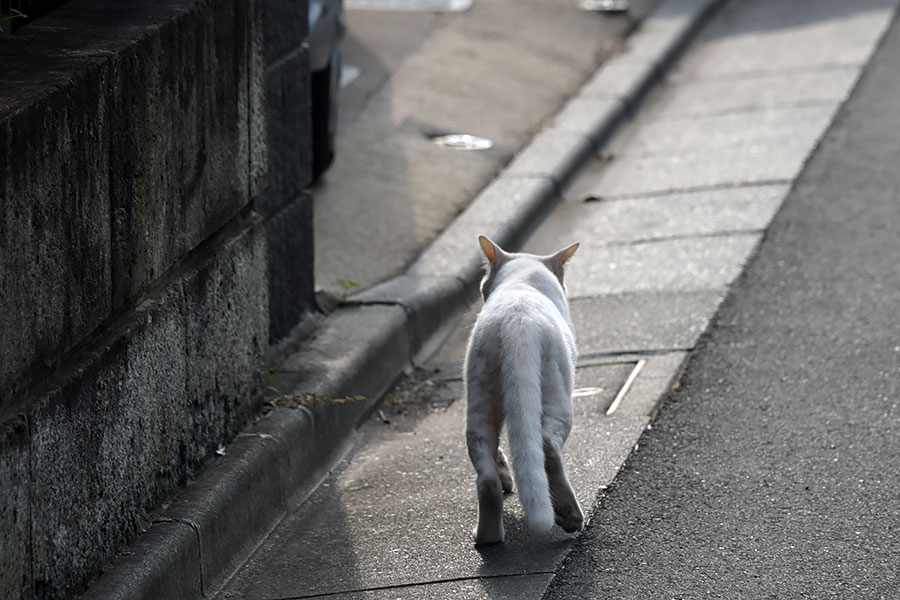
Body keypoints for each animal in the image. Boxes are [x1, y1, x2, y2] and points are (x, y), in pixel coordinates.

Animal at [464, 234, 584, 544]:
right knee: (548, 445)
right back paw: (569, 514)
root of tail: (516, 321)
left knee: (487, 477)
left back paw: (488, 537)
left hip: (480, 394)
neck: (523, 279)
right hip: (557, 392)